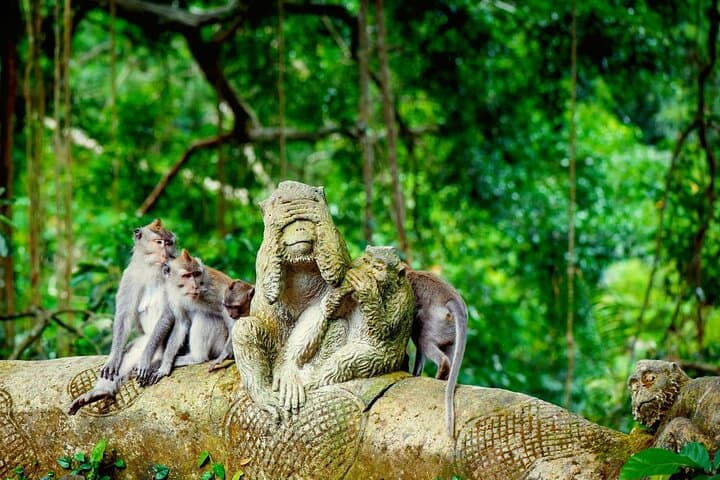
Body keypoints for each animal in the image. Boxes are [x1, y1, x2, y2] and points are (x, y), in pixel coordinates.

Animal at [68, 219, 176, 415]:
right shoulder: (130, 275)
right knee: (130, 352)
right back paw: (100, 392)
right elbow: (124, 316)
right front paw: (113, 358)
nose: (166, 254)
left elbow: (168, 313)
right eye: (159, 242)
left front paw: (145, 360)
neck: (152, 269)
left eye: (169, 243)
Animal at [135, 250, 252, 385]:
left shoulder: (220, 292)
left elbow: (232, 318)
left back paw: (197, 358)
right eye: (186, 276)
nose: (195, 286)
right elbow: (182, 323)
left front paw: (224, 355)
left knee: (204, 316)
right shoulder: (173, 295)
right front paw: (165, 366)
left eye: (196, 274)